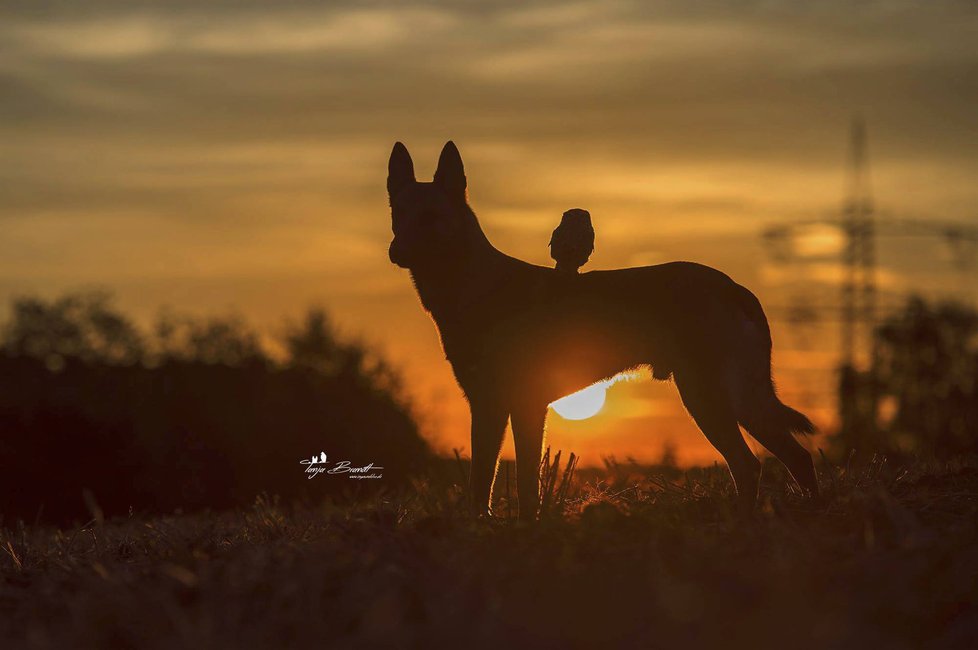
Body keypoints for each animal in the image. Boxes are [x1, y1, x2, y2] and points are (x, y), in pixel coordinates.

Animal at [386, 139, 820, 520]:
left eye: (430, 217)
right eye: (397, 214)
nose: (396, 252)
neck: (476, 284)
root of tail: (735, 288)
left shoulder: (524, 405)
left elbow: (525, 485)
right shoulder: (487, 406)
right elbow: (482, 480)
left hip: (712, 397)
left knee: (752, 465)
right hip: (736, 399)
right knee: (790, 458)